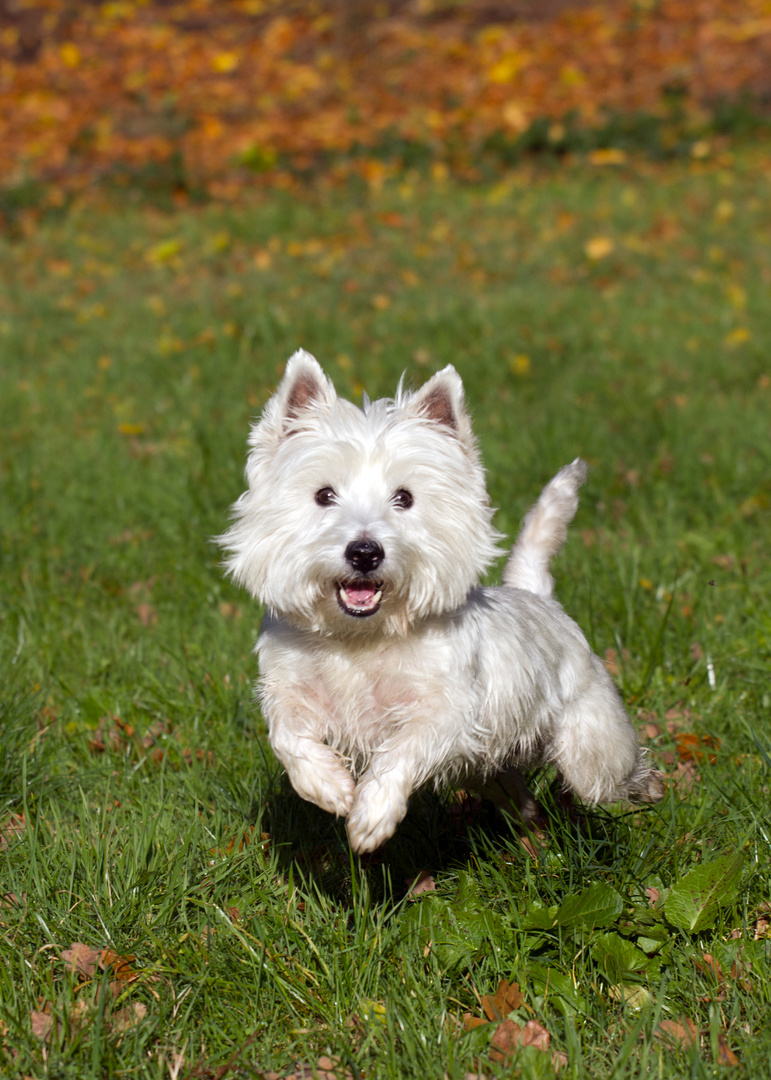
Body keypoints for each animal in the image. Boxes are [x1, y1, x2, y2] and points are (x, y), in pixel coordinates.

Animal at [219, 352, 665, 851]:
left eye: (404, 497)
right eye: (324, 494)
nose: (365, 552)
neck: (359, 637)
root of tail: (538, 595)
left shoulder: (448, 710)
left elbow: (405, 747)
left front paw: (371, 816)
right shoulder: (290, 689)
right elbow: (288, 736)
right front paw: (330, 786)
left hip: (589, 744)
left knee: (611, 774)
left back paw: (650, 787)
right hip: (483, 770)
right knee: (517, 792)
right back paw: (534, 832)